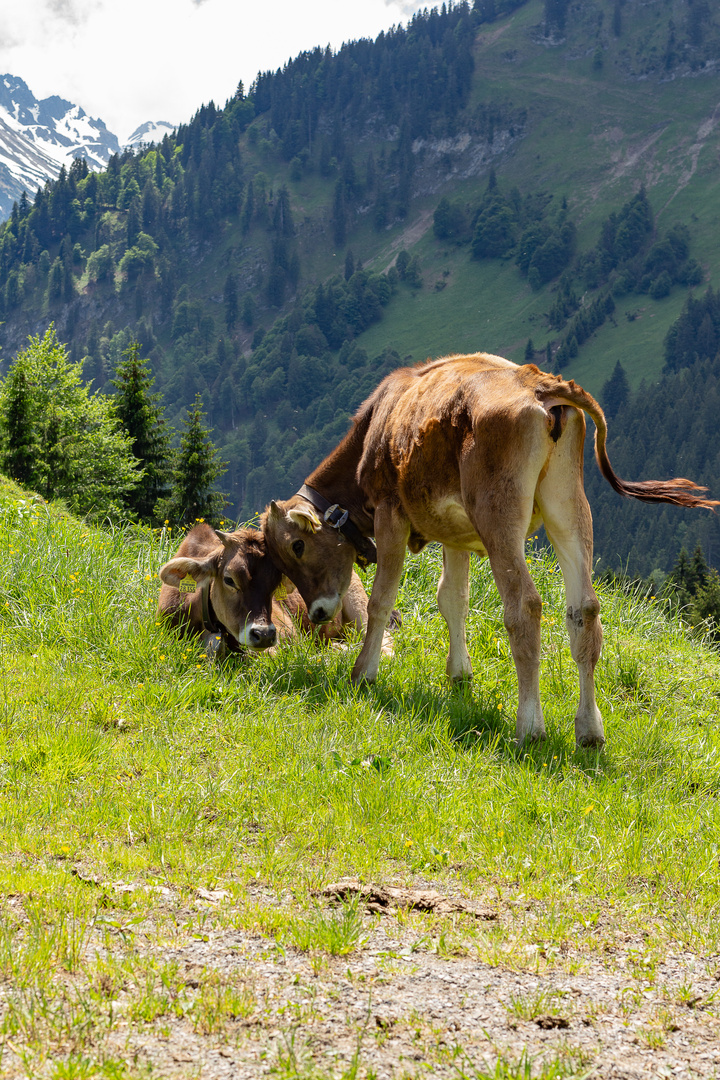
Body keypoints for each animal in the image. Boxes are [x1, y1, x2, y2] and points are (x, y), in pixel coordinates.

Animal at [263, 349, 716, 747]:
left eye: (297, 546)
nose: (318, 613)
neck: (377, 425)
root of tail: (539, 384)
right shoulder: (453, 533)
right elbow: (453, 598)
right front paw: (459, 674)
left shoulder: (391, 512)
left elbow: (382, 599)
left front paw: (363, 673)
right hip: (568, 505)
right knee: (584, 610)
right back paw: (589, 730)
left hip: (499, 514)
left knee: (525, 608)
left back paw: (529, 727)